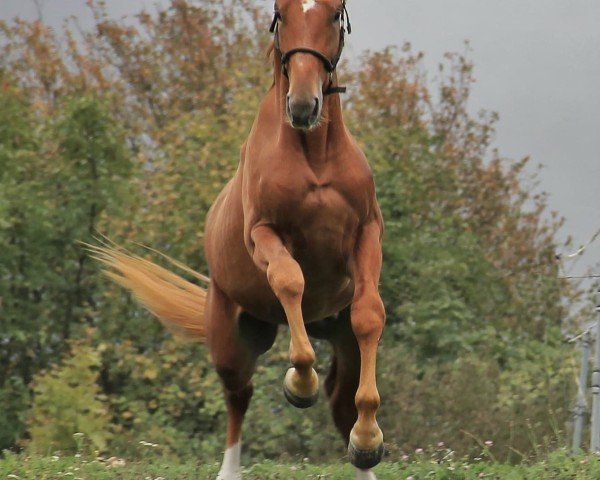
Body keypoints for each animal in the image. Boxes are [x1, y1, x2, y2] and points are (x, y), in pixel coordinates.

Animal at [94, 1, 386, 478]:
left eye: (334, 14)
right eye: (281, 14)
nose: (303, 105)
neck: (314, 154)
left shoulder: (366, 234)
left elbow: (369, 316)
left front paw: (369, 439)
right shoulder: (262, 234)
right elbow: (289, 280)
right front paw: (297, 382)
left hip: (336, 334)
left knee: (340, 402)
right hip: (229, 338)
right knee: (238, 396)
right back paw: (231, 467)